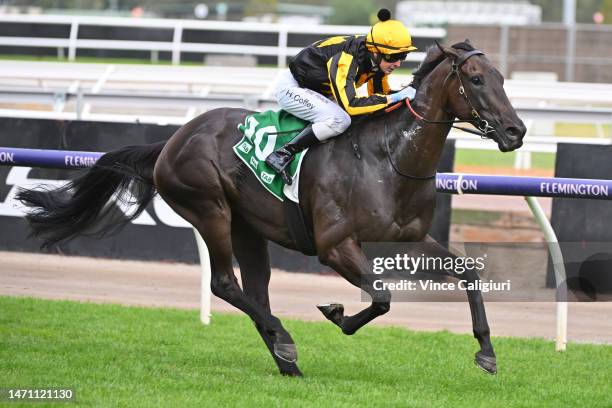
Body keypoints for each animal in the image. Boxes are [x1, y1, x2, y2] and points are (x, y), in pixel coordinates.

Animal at [19, 41, 524, 376]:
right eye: (475, 80)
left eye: (502, 79)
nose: (516, 131)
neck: (390, 156)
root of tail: (174, 139)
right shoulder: (335, 245)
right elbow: (380, 297)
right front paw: (337, 314)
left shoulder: (411, 236)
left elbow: (467, 272)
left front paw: (486, 352)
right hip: (210, 210)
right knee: (225, 283)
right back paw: (286, 343)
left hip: (248, 227)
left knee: (255, 292)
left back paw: (286, 359)